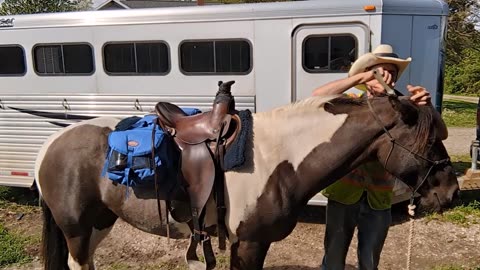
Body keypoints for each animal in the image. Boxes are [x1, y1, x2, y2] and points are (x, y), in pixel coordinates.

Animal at [36, 94, 458, 268]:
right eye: (429, 141)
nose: (450, 192)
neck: (281, 159)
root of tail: (50, 144)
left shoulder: (246, 244)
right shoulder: (252, 243)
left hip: (99, 223)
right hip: (77, 229)